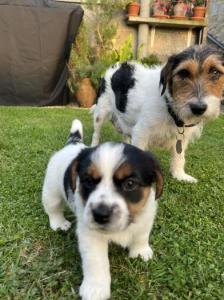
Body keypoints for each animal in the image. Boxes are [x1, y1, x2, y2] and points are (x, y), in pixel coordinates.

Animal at [42, 119, 163, 300]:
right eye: (87, 181)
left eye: (130, 184)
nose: (100, 214)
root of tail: (73, 144)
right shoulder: (91, 236)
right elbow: (96, 262)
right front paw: (96, 288)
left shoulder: (145, 217)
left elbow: (141, 236)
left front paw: (140, 251)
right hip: (51, 192)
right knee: (53, 208)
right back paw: (59, 223)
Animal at [91, 45, 224, 183]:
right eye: (183, 73)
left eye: (215, 72)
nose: (198, 108)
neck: (170, 108)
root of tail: (118, 66)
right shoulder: (141, 132)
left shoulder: (182, 138)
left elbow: (179, 156)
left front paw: (179, 175)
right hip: (101, 112)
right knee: (96, 133)